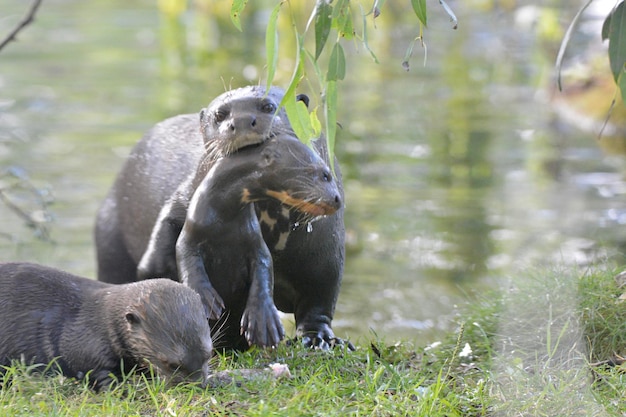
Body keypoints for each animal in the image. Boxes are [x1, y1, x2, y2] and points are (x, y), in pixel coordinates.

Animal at [0, 262, 213, 388]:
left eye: (208, 355)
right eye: (171, 363)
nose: (197, 385)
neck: (103, 322)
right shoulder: (84, 348)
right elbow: (96, 372)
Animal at [173, 133, 338, 348]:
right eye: (325, 175)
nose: (338, 199)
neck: (224, 220)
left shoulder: (255, 243)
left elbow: (264, 271)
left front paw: (264, 321)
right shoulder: (191, 234)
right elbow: (187, 260)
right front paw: (204, 299)